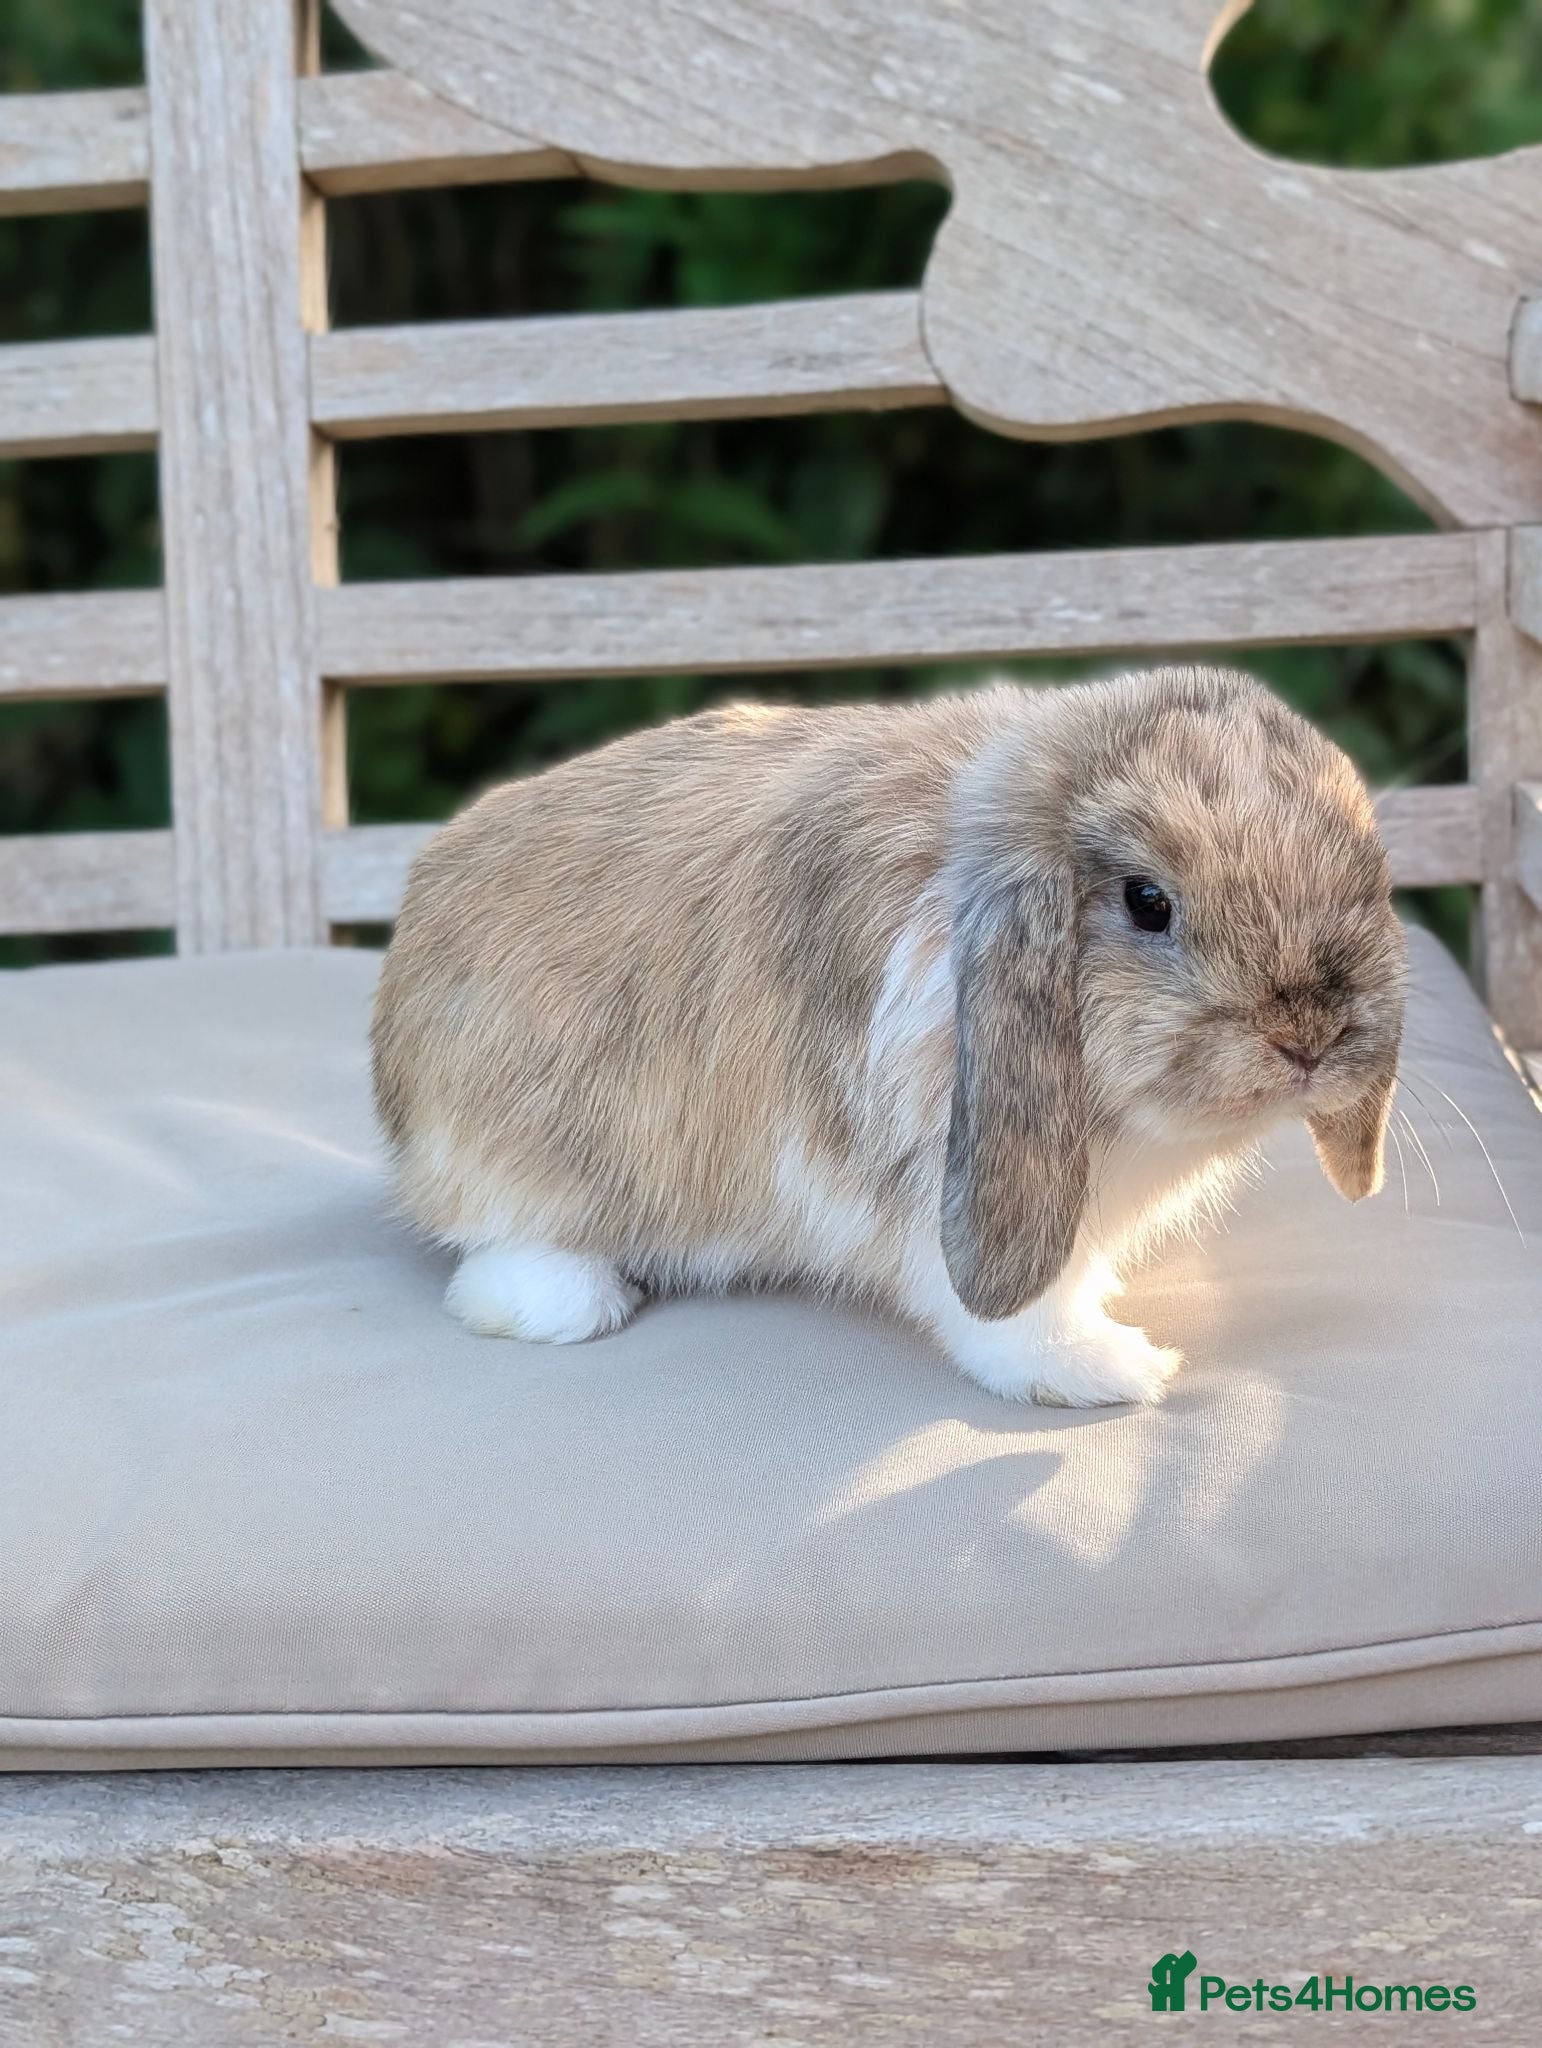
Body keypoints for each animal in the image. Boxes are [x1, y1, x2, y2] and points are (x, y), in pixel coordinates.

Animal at [371, 666, 1405, 1406]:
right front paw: (1108, 1370)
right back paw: (567, 1302)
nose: (1311, 1038)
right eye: (1147, 901)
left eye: (1370, 868)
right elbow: (1008, 1313)